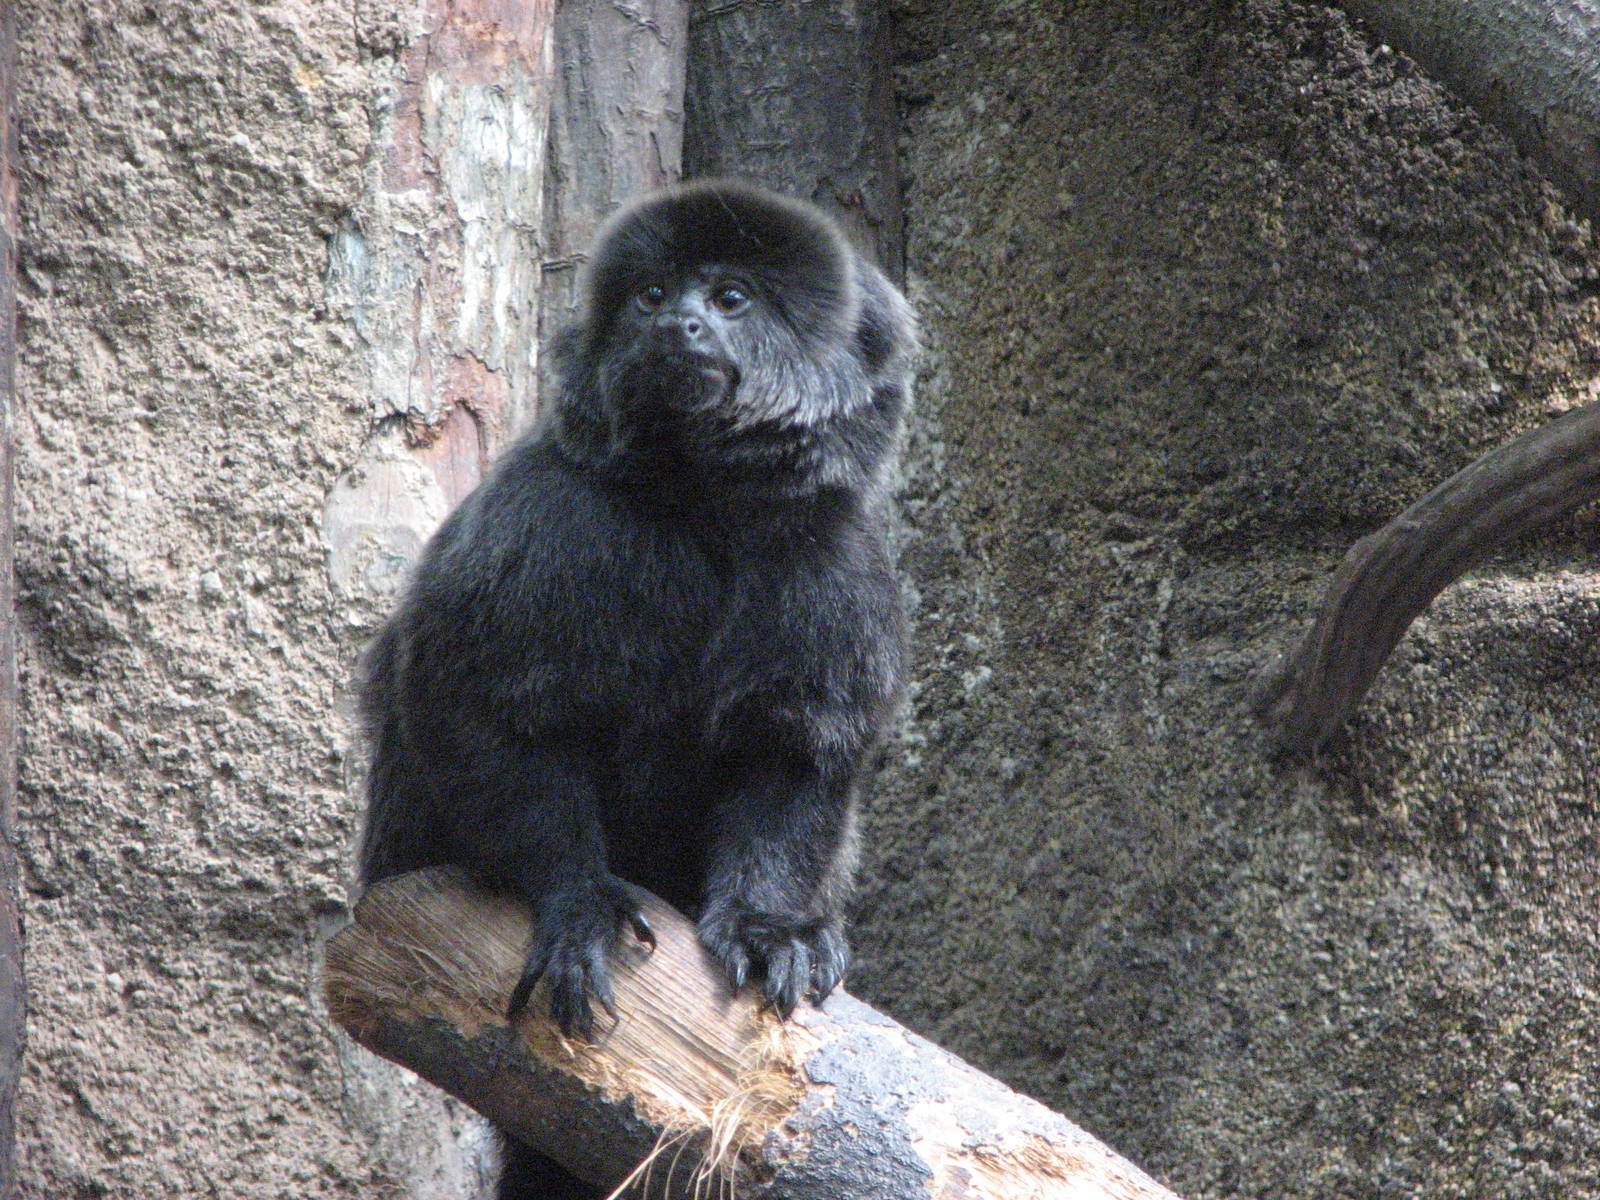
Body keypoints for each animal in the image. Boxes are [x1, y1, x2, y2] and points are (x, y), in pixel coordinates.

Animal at [355, 179, 915, 1198]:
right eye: (652, 295)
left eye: (730, 299)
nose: (677, 324)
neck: (703, 508)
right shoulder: (548, 514)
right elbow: (470, 706)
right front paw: (576, 899)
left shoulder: (834, 558)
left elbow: (796, 760)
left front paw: (772, 927)